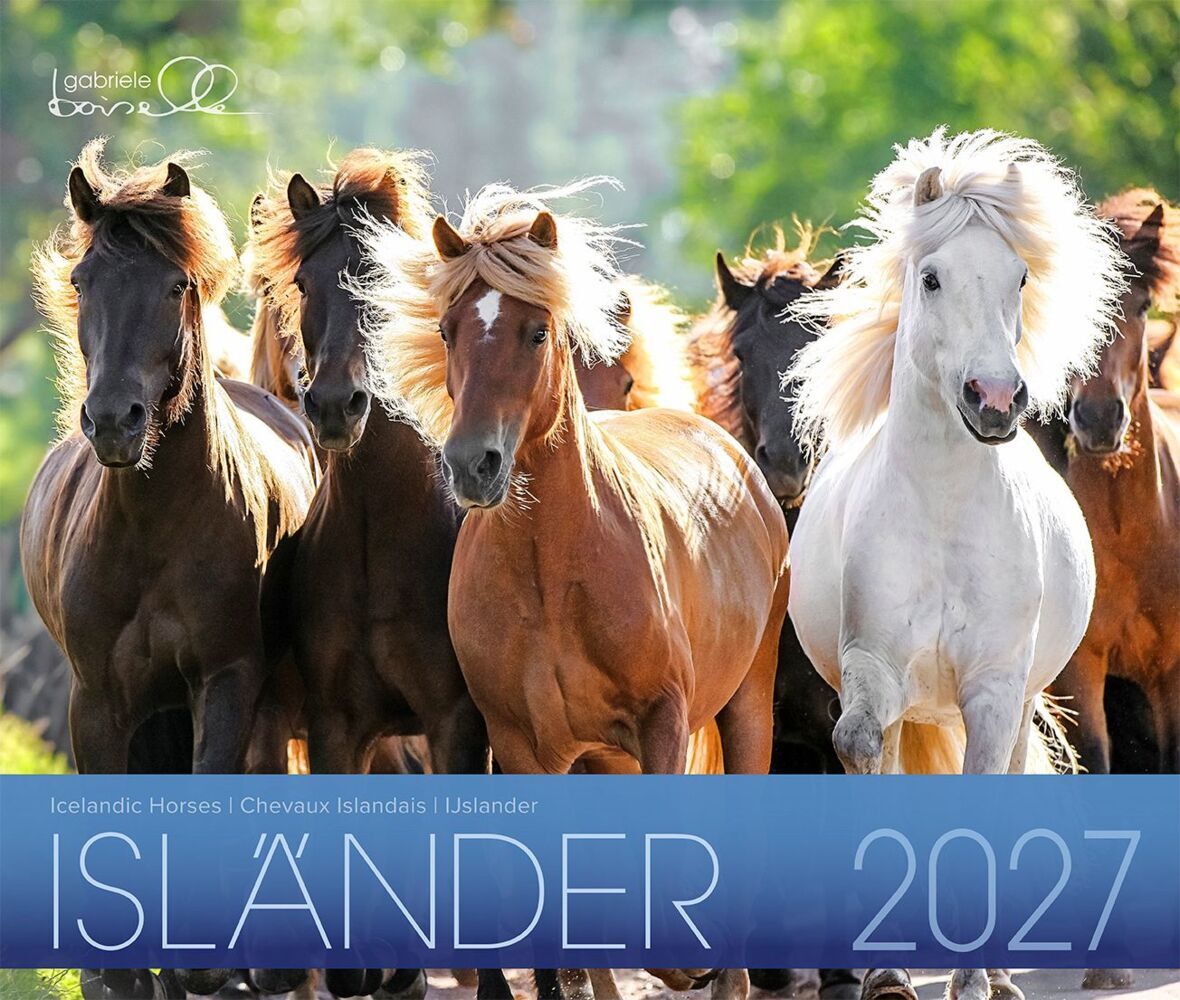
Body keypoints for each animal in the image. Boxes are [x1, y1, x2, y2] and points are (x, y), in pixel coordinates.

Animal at [21, 141, 317, 999]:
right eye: (83, 282)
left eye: (176, 284)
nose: (114, 421)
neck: (153, 532)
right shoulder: (97, 699)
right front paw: (118, 970)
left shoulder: (225, 679)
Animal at [354, 180, 788, 1000]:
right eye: (449, 330)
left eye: (535, 331)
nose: (474, 465)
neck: (551, 574)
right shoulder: (527, 749)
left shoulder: (661, 723)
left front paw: (684, 959)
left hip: (748, 702)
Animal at [784, 129, 1123, 1000]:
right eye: (931, 277)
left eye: (1020, 277)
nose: (994, 401)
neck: (941, 511)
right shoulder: (873, 666)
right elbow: (861, 750)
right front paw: (885, 973)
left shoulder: (996, 687)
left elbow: (982, 799)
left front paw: (972, 979)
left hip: (1021, 694)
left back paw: (998, 976)